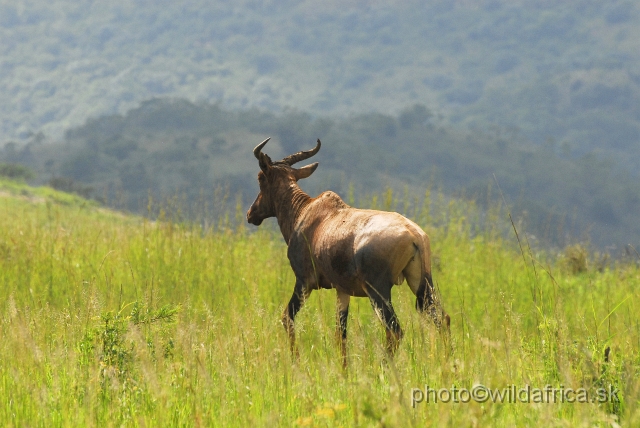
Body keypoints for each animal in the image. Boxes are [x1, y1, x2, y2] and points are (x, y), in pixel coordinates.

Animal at [245, 138, 450, 364]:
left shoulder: (304, 282)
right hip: (421, 284)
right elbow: (340, 334)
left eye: (261, 178)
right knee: (443, 319)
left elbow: (287, 318)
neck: (308, 213)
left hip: (378, 291)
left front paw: (296, 362)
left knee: (395, 330)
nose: (251, 214)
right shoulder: (342, 290)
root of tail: (414, 234)